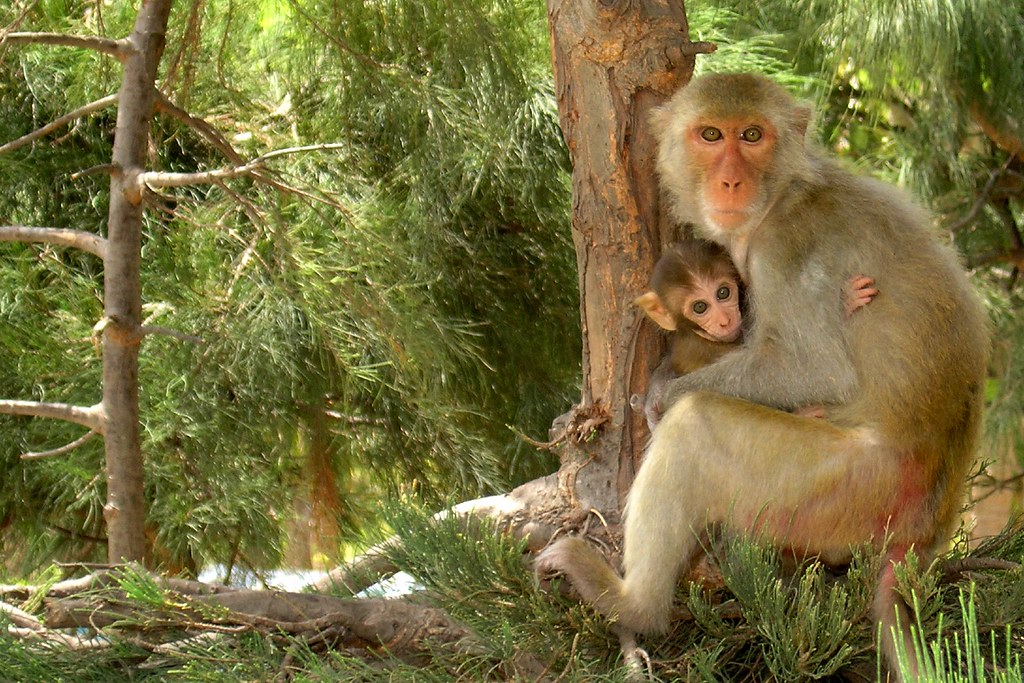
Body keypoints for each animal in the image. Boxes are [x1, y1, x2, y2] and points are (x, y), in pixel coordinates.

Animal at [537, 73, 988, 681]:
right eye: (710, 135)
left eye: (752, 136)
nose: (730, 179)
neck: (780, 197)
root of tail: (924, 535)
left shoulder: (786, 248)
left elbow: (814, 367)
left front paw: (660, 394)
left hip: (843, 490)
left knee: (695, 428)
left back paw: (633, 604)